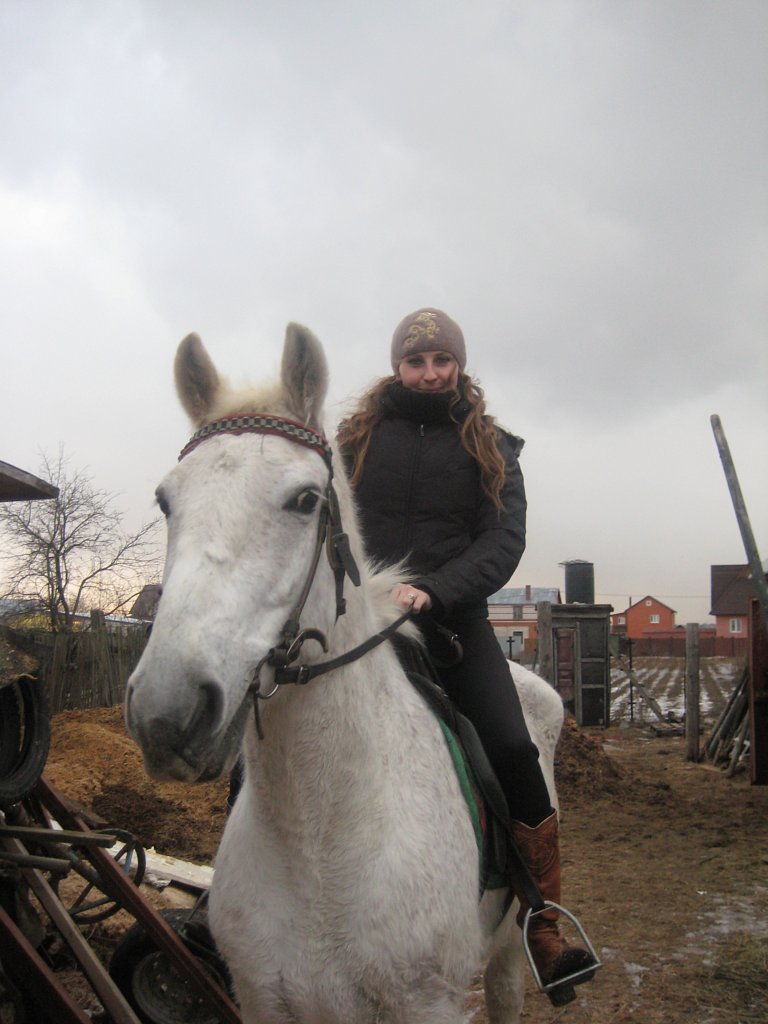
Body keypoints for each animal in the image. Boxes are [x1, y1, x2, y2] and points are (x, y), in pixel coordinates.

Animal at [125, 323, 567, 1024]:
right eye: (166, 501)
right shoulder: (262, 998)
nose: (169, 713)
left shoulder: (429, 1003)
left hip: (503, 955)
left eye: (306, 500)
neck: (317, 838)